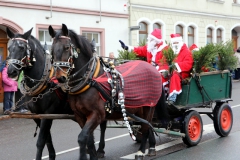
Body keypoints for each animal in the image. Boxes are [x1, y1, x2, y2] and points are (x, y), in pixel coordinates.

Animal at [6, 27, 74, 160]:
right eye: (9, 48)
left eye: (22, 47)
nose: (11, 71)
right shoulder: (37, 115)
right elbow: (47, 139)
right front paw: (52, 155)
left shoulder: (47, 114)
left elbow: (41, 142)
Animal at [48, 24, 169, 160]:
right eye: (52, 49)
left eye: (67, 47)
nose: (60, 78)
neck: (90, 80)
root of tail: (153, 68)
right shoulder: (80, 116)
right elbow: (89, 140)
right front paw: (94, 155)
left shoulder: (97, 114)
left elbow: (82, 137)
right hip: (138, 108)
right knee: (146, 125)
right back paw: (151, 146)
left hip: (149, 107)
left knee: (146, 126)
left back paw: (141, 151)